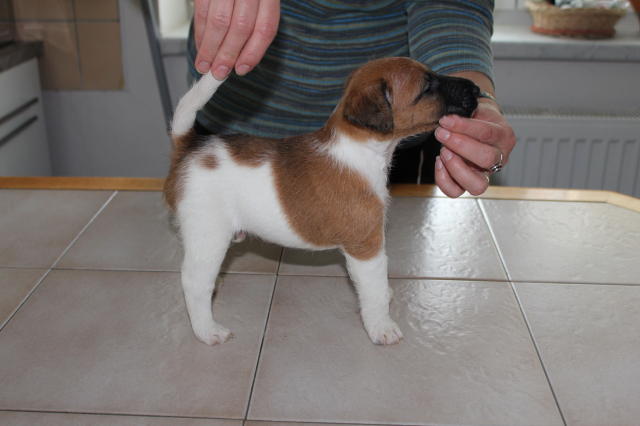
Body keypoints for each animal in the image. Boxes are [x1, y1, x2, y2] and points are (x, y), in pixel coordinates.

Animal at [164, 57, 479, 346]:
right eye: (427, 87)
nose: (476, 89)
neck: (358, 149)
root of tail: (190, 147)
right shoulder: (366, 246)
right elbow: (374, 291)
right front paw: (382, 326)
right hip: (209, 237)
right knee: (193, 282)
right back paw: (207, 330)